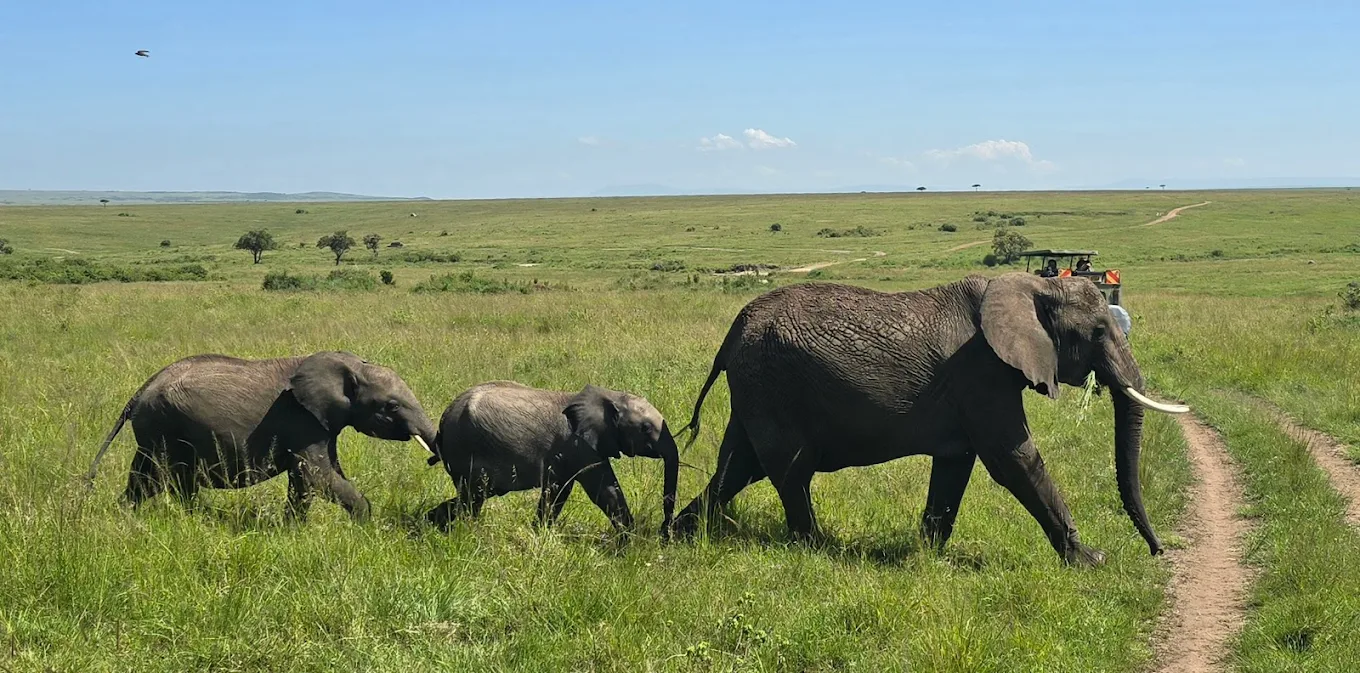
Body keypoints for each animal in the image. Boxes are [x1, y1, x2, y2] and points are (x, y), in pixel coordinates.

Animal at [85, 351, 438, 521]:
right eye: (391, 406)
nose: (434, 458)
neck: (349, 365)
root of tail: (139, 391)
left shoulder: (320, 422)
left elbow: (309, 476)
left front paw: (292, 529)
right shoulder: (301, 418)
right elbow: (317, 474)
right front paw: (366, 524)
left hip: (156, 430)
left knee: (145, 478)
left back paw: (129, 515)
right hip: (163, 427)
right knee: (162, 477)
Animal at [424, 381, 680, 539]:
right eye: (646, 428)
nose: (663, 533)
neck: (610, 395)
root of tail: (443, 422)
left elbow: (569, 490)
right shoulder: (578, 445)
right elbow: (600, 491)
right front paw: (630, 541)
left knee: (472, 497)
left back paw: (434, 523)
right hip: (466, 449)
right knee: (472, 498)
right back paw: (466, 531)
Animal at [674, 272, 1189, 566]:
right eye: (1099, 331)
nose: (1158, 551)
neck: (1030, 285)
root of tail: (733, 331)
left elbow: (956, 465)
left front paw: (927, 558)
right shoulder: (981, 371)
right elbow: (1014, 459)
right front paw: (1090, 560)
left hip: (756, 386)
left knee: (737, 467)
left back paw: (677, 534)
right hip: (772, 384)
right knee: (789, 470)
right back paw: (817, 550)